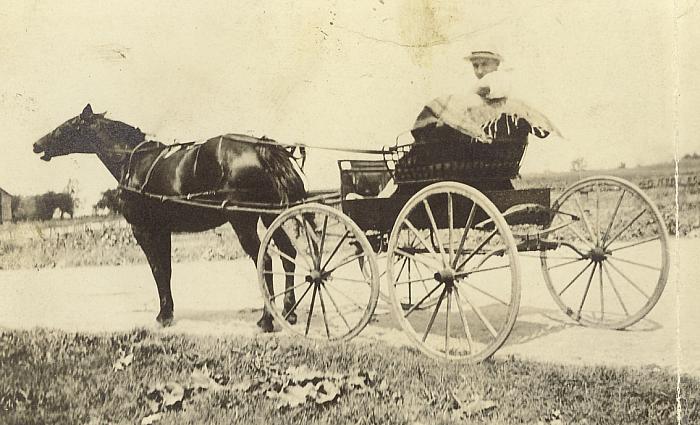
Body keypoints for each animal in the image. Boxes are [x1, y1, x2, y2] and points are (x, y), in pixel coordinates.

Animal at [32, 104, 304, 330]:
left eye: (65, 127)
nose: (37, 144)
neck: (134, 161)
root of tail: (261, 147)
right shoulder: (163, 230)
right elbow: (167, 269)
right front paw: (168, 312)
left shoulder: (143, 230)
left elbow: (157, 270)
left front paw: (163, 316)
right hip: (269, 216)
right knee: (287, 253)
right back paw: (288, 311)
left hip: (243, 220)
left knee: (264, 260)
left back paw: (267, 319)